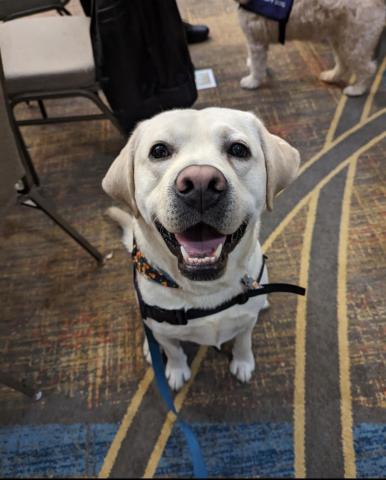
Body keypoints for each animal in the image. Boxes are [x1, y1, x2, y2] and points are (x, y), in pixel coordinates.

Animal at [237, 0, 384, 96]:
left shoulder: (256, 40)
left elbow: (257, 66)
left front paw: (252, 81)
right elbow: (256, 62)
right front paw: (251, 65)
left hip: (354, 42)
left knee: (368, 69)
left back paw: (357, 90)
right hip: (341, 39)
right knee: (343, 64)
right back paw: (331, 76)